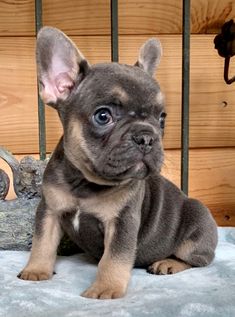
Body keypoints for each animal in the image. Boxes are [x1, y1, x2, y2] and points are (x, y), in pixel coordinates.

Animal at [17, 27, 218, 298]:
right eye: (103, 116)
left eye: (162, 118)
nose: (146, 137)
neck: (84, 183)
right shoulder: (49, 210)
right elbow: (43, 242)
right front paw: (36, 270)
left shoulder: (122, 221)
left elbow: (113, 258)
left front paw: (106, 288)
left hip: (196, 226)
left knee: (197, 259)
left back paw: (167, 263)